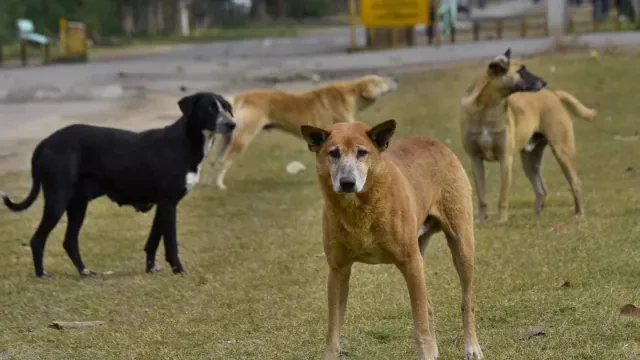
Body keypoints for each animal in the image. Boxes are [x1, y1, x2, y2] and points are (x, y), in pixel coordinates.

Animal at [0, 91, 235, 278]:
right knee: (37, 239)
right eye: (210, 107)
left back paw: (85, 271)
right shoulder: (169, 203)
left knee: (69, 241)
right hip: (57, 200)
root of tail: (44, 143)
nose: (232, 124)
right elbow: (170, 243)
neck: (185, 142)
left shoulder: (164, 204)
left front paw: (151, 268)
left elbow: (153, 240)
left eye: (226, 107)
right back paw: (41, 274)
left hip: (77, 205)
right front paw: (179, 270)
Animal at [202, 74, 398, 190]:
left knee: (214, 161)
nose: (396, 79)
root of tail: (242, 96)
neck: (351, 92)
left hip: (227, 139)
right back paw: (219, 184)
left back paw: (208, 183)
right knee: (225, 161)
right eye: (382, 81)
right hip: (242, 139)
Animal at [460, 47, 596, 222]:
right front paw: (482, 219)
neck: (487, 109)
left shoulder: (505, 159)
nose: (544, 82)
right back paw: (536, 213)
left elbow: (503, 195)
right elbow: (481, 195)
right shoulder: (476, 161)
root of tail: (553, 94)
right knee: (541, 190)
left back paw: (580, 214)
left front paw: (502, 219)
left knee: (576, 183)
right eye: (521, 71)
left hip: (562, 152)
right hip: (530, 161)